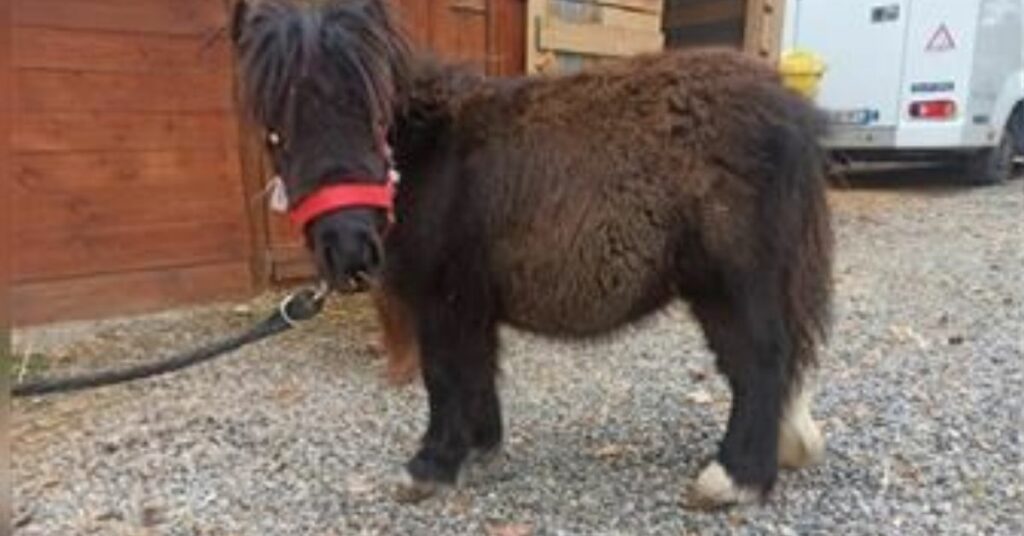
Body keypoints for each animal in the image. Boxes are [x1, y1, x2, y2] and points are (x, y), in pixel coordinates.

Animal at [230, 0, 831, 508]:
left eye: (375, 115)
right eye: (275, 130)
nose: (349, 247)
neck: (433, 155)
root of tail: (789, 108)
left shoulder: (441, 301)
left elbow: (443, 376)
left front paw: (430, 466)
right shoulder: (469, 302)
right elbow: (477, 369)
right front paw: (477, 446)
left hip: (730, 284)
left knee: (760, 361)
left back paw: (734, 478)